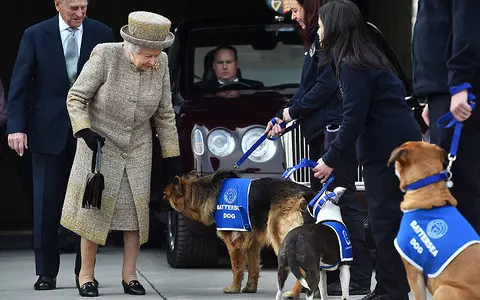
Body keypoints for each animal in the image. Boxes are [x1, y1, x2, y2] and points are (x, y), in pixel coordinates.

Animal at [163, 170, 316, 294]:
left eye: (164, 195)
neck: (207, 190)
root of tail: (306, 193)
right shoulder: (252, 243)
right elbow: (253, 268)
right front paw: (250, 288)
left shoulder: (234, 243)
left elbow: (236, 268)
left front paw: (234, 288)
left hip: (280, 239)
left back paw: (293, 294)